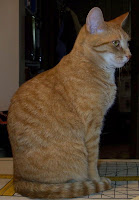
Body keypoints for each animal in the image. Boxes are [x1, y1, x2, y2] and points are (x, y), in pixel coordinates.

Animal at [7, 6, 131, 198]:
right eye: (116, 43)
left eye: (128, 43)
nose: (129, 55)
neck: (91, 65)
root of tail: (17, 179)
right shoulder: (93, 127)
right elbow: (93, 160)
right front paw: (96, 180)